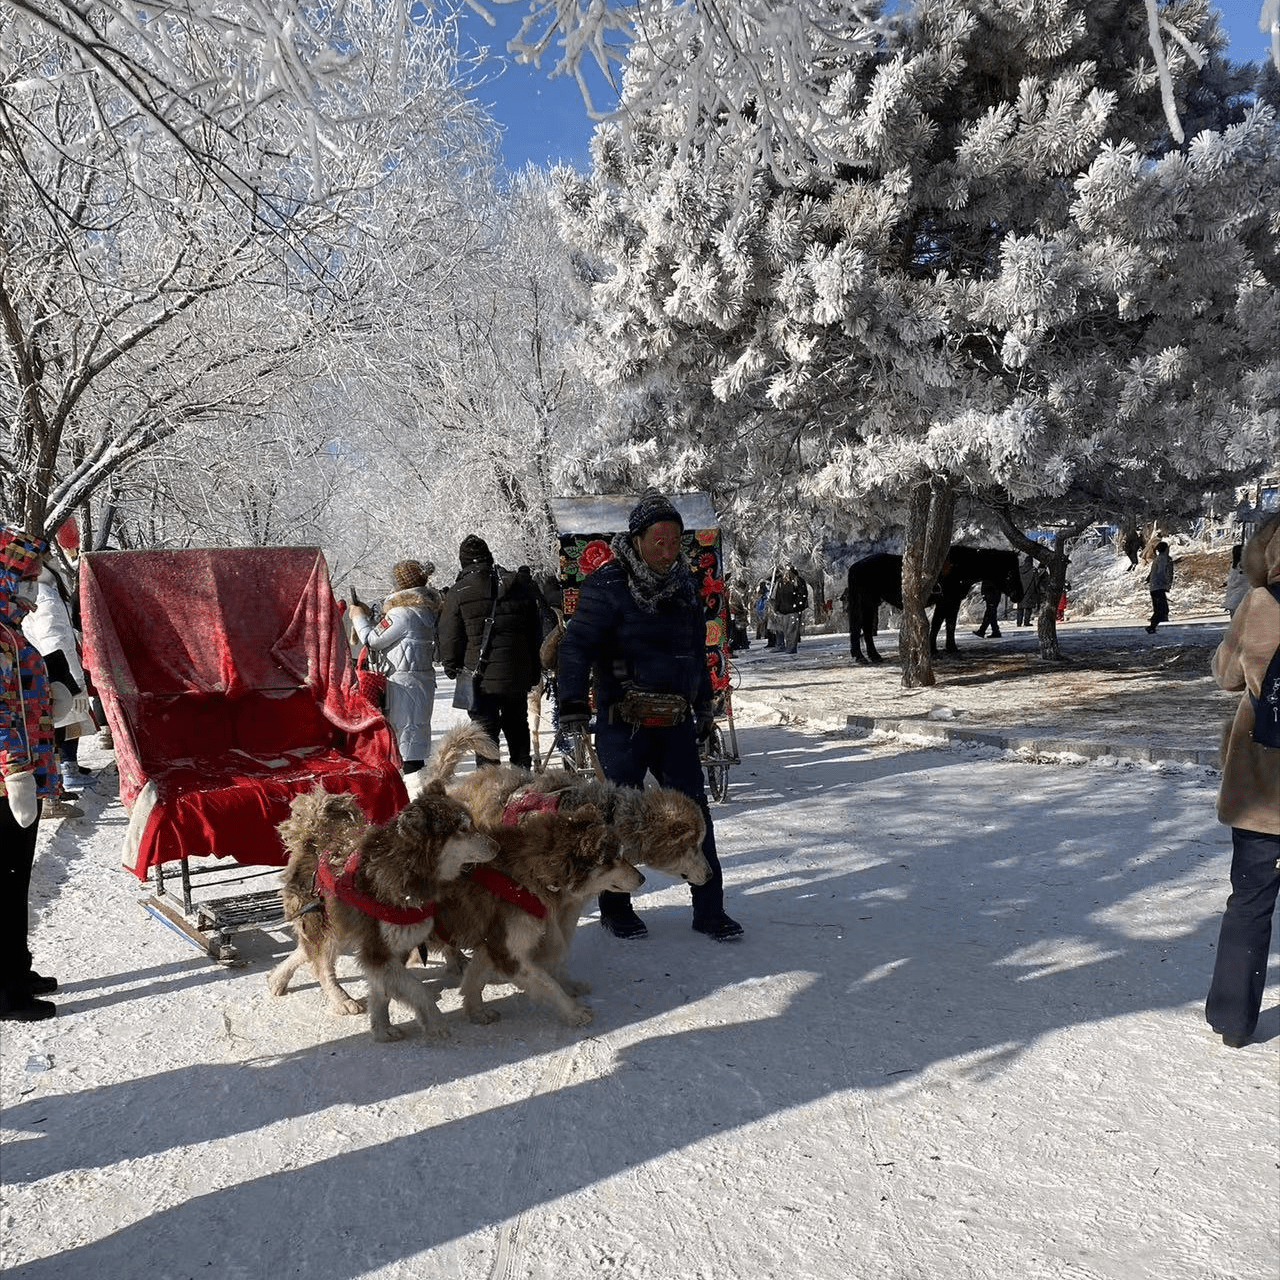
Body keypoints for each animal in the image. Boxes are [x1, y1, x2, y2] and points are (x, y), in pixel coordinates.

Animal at [268, 778, 499, 1039]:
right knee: (322, 967)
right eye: (463, 829)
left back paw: (277, 978)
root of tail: (314, 839)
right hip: (328, 930)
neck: (408, 870)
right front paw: (435, 1021)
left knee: (304, 952)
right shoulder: (378, 950)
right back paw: (341, 1000)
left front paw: (381, 1028)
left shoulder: (393, 947)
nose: (497, 846)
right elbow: (416, 988)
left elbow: (382, 993)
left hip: (342, 929)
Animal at [844, 545, 1024, 665]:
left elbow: (948, 624)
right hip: (867, 602)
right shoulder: (945, 601)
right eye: (1011, 572)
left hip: (870, 603)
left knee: (862, 628)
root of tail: (855, 566)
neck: (958, 567)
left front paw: (949, 648)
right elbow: (939, 624)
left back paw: (868, 655)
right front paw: (936, 649)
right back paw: (865, 656)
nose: (1020, 595)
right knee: (862, 627)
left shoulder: (953, 602)